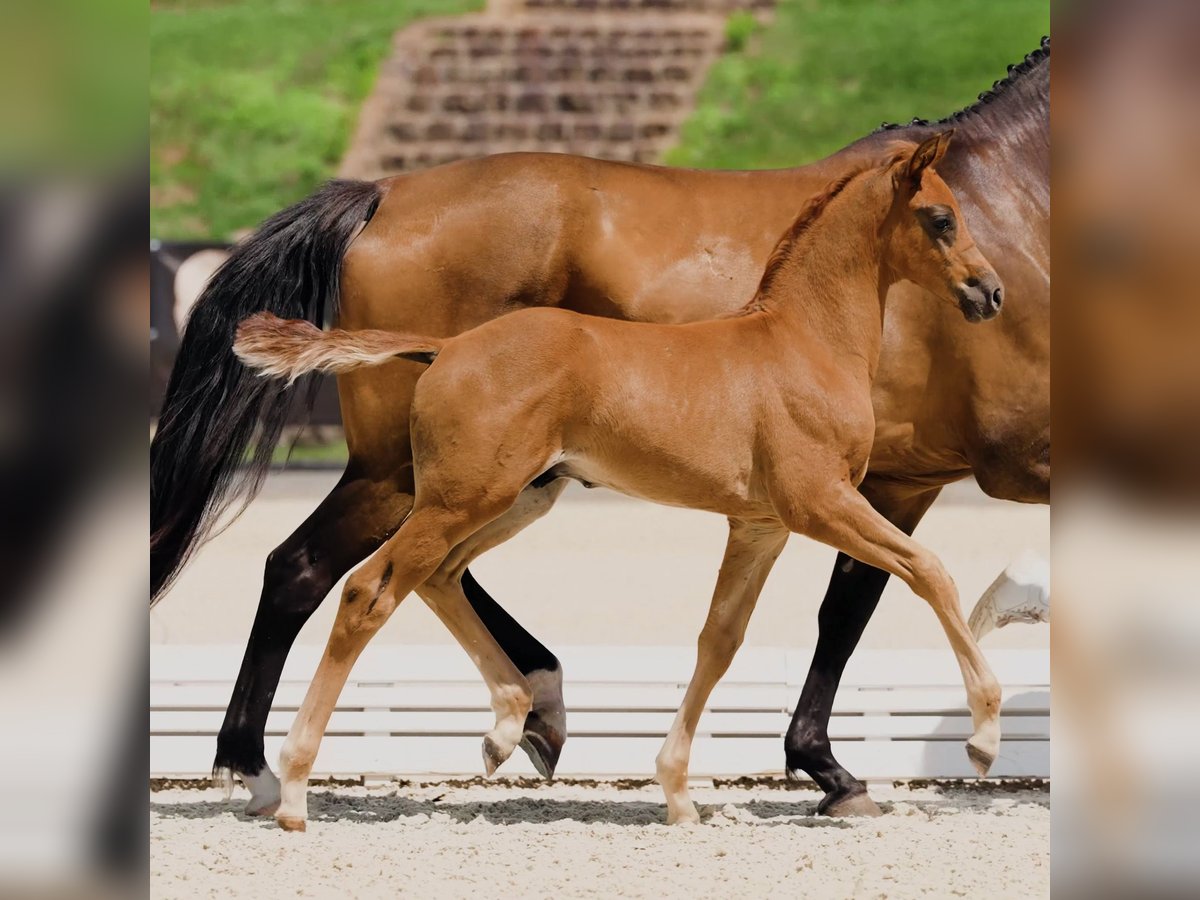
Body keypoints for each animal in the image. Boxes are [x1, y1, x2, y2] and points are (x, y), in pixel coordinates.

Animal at [150, 39, 1049, 818]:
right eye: (940, 219)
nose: (988, 293)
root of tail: (383, 194)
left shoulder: (801, 508)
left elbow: (748, 632)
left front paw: (758, 779)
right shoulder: (887, 484)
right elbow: (921, 579)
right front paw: (973, 735)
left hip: (501, 486)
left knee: (422, 574)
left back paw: (520, 715)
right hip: (409, 476)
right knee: (326, 575)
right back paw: (275, 778)